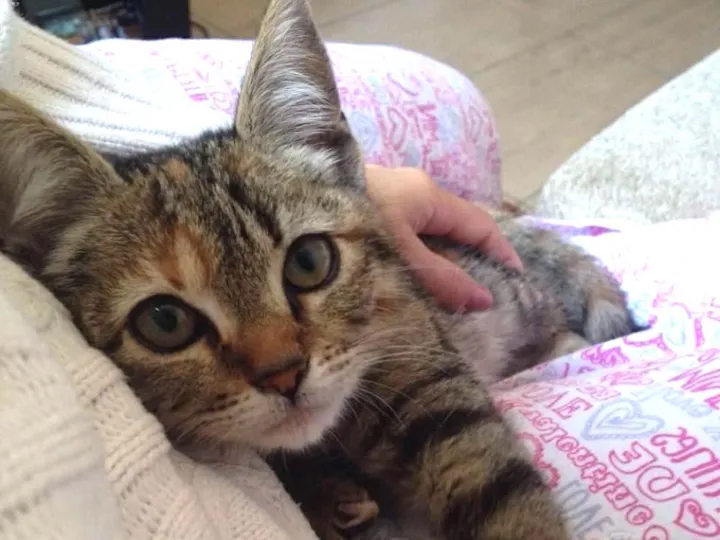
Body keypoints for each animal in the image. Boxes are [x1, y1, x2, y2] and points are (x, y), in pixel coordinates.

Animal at [0, 0, 643, 539]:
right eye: (164, 322)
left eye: (309, 263)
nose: (284, 375)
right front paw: (327, 495)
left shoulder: (421, 361)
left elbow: (497, 490)